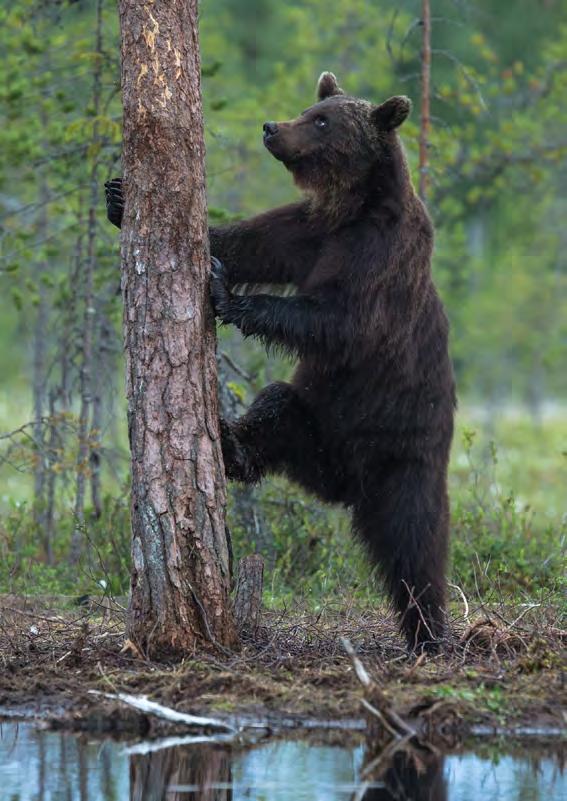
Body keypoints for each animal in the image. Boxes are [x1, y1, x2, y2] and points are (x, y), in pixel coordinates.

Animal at [105, 72, 458, 652]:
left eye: (323, 121)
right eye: (310, 109)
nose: (272, 127)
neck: (350, 206)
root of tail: (346, 487)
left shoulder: (379, 256)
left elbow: (338, 319)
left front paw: (225, 293)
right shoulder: (308, 232)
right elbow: (248, 242)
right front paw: (117, 197)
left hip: (406, 452)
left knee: (416, 543)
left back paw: (428, 632)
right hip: (317, 428)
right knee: (275, 409)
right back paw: (231, 444)